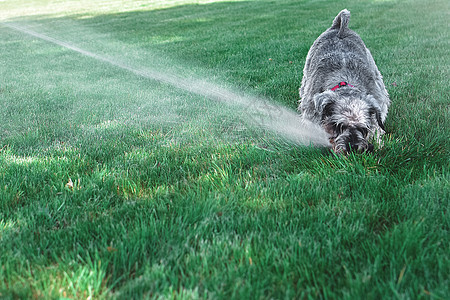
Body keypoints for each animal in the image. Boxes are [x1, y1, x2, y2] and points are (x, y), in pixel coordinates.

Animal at [298, 8, 390, 155]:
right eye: (338, 126)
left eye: (363, 128)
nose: (352, 147)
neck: (344, 81)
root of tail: (338, 27)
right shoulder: (310, 108)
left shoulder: (376, 98)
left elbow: (376, 123)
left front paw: (377, 141)